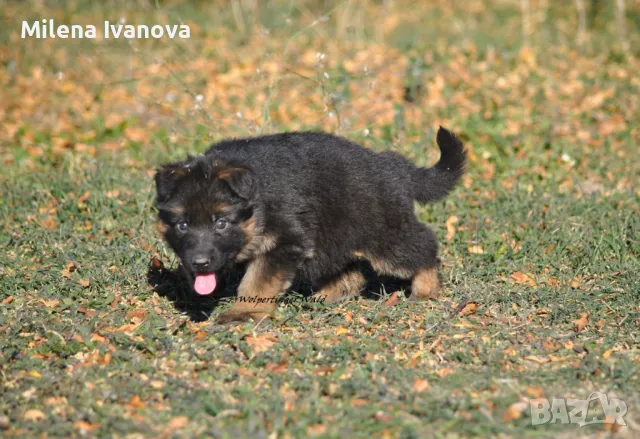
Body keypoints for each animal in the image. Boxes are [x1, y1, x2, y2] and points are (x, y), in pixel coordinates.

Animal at [155, 127, 464, 324]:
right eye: (182, 225)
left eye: (221, 223)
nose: (200, 263)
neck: (258, 198)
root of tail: (397, 167)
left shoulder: (286, 242)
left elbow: (256, 282)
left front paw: (243, 313)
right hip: (335, 235)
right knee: (352, 272)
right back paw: (325, 298)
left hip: (384, 236)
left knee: (424, 245)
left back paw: (425, 290)